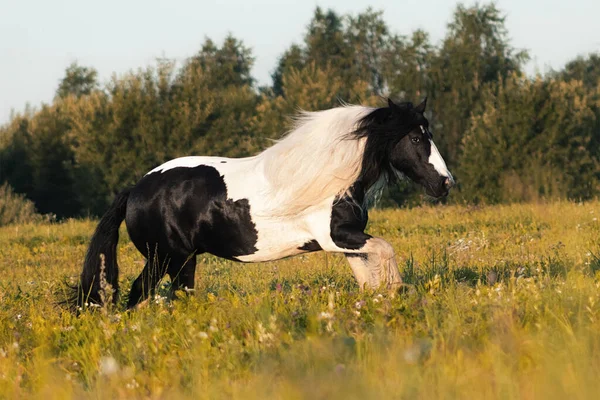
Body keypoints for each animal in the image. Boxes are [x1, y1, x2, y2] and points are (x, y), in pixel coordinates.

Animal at [72, 97, 452, 310]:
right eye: (415, 138)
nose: (445, 183)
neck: (331, 178)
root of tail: (136, 189)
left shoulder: (349, 242)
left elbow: (368, 279)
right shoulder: (337, 237)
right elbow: (386, 250)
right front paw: (398, 291)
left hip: (184, 260)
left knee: (176, 296)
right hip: (165, 258)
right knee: (139, 293)